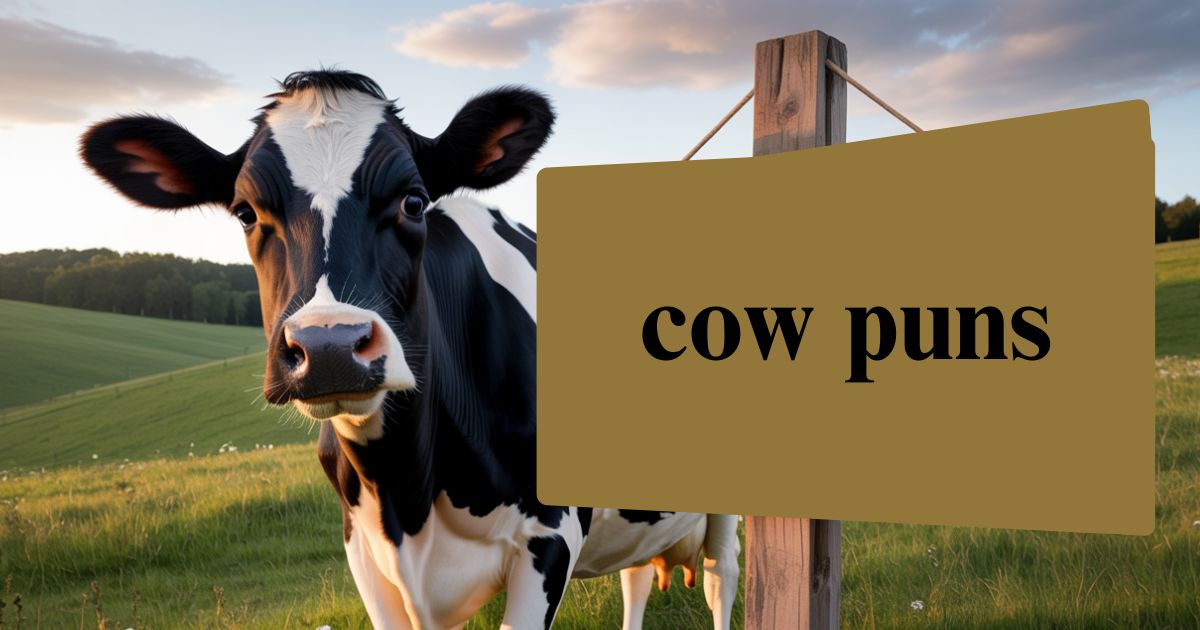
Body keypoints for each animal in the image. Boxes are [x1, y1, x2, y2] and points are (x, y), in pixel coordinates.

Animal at [79, 70, 740, 630]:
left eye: (414, 201)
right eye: (245, 212)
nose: (329, 346)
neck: (408, 489)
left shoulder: (550, 538)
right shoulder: (366, 552)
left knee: (721, 579)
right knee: (637, 582)